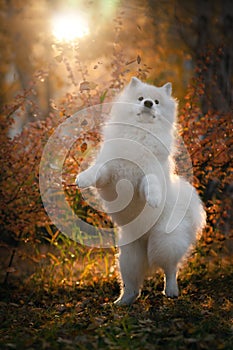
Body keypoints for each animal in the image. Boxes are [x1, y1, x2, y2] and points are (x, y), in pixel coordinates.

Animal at [75, 78, 205, 304]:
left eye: (157, 101)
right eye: (140, 98)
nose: (148, 103)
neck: (139, 134)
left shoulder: (149, 173)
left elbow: (151, 182)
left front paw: (154, 199)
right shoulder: (109, 172)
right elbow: (97, 170)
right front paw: (83, 178)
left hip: (164, 241)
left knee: (170, 268)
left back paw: (171, 291)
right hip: (128, 256)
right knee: (132, 285)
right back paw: (122, 302)